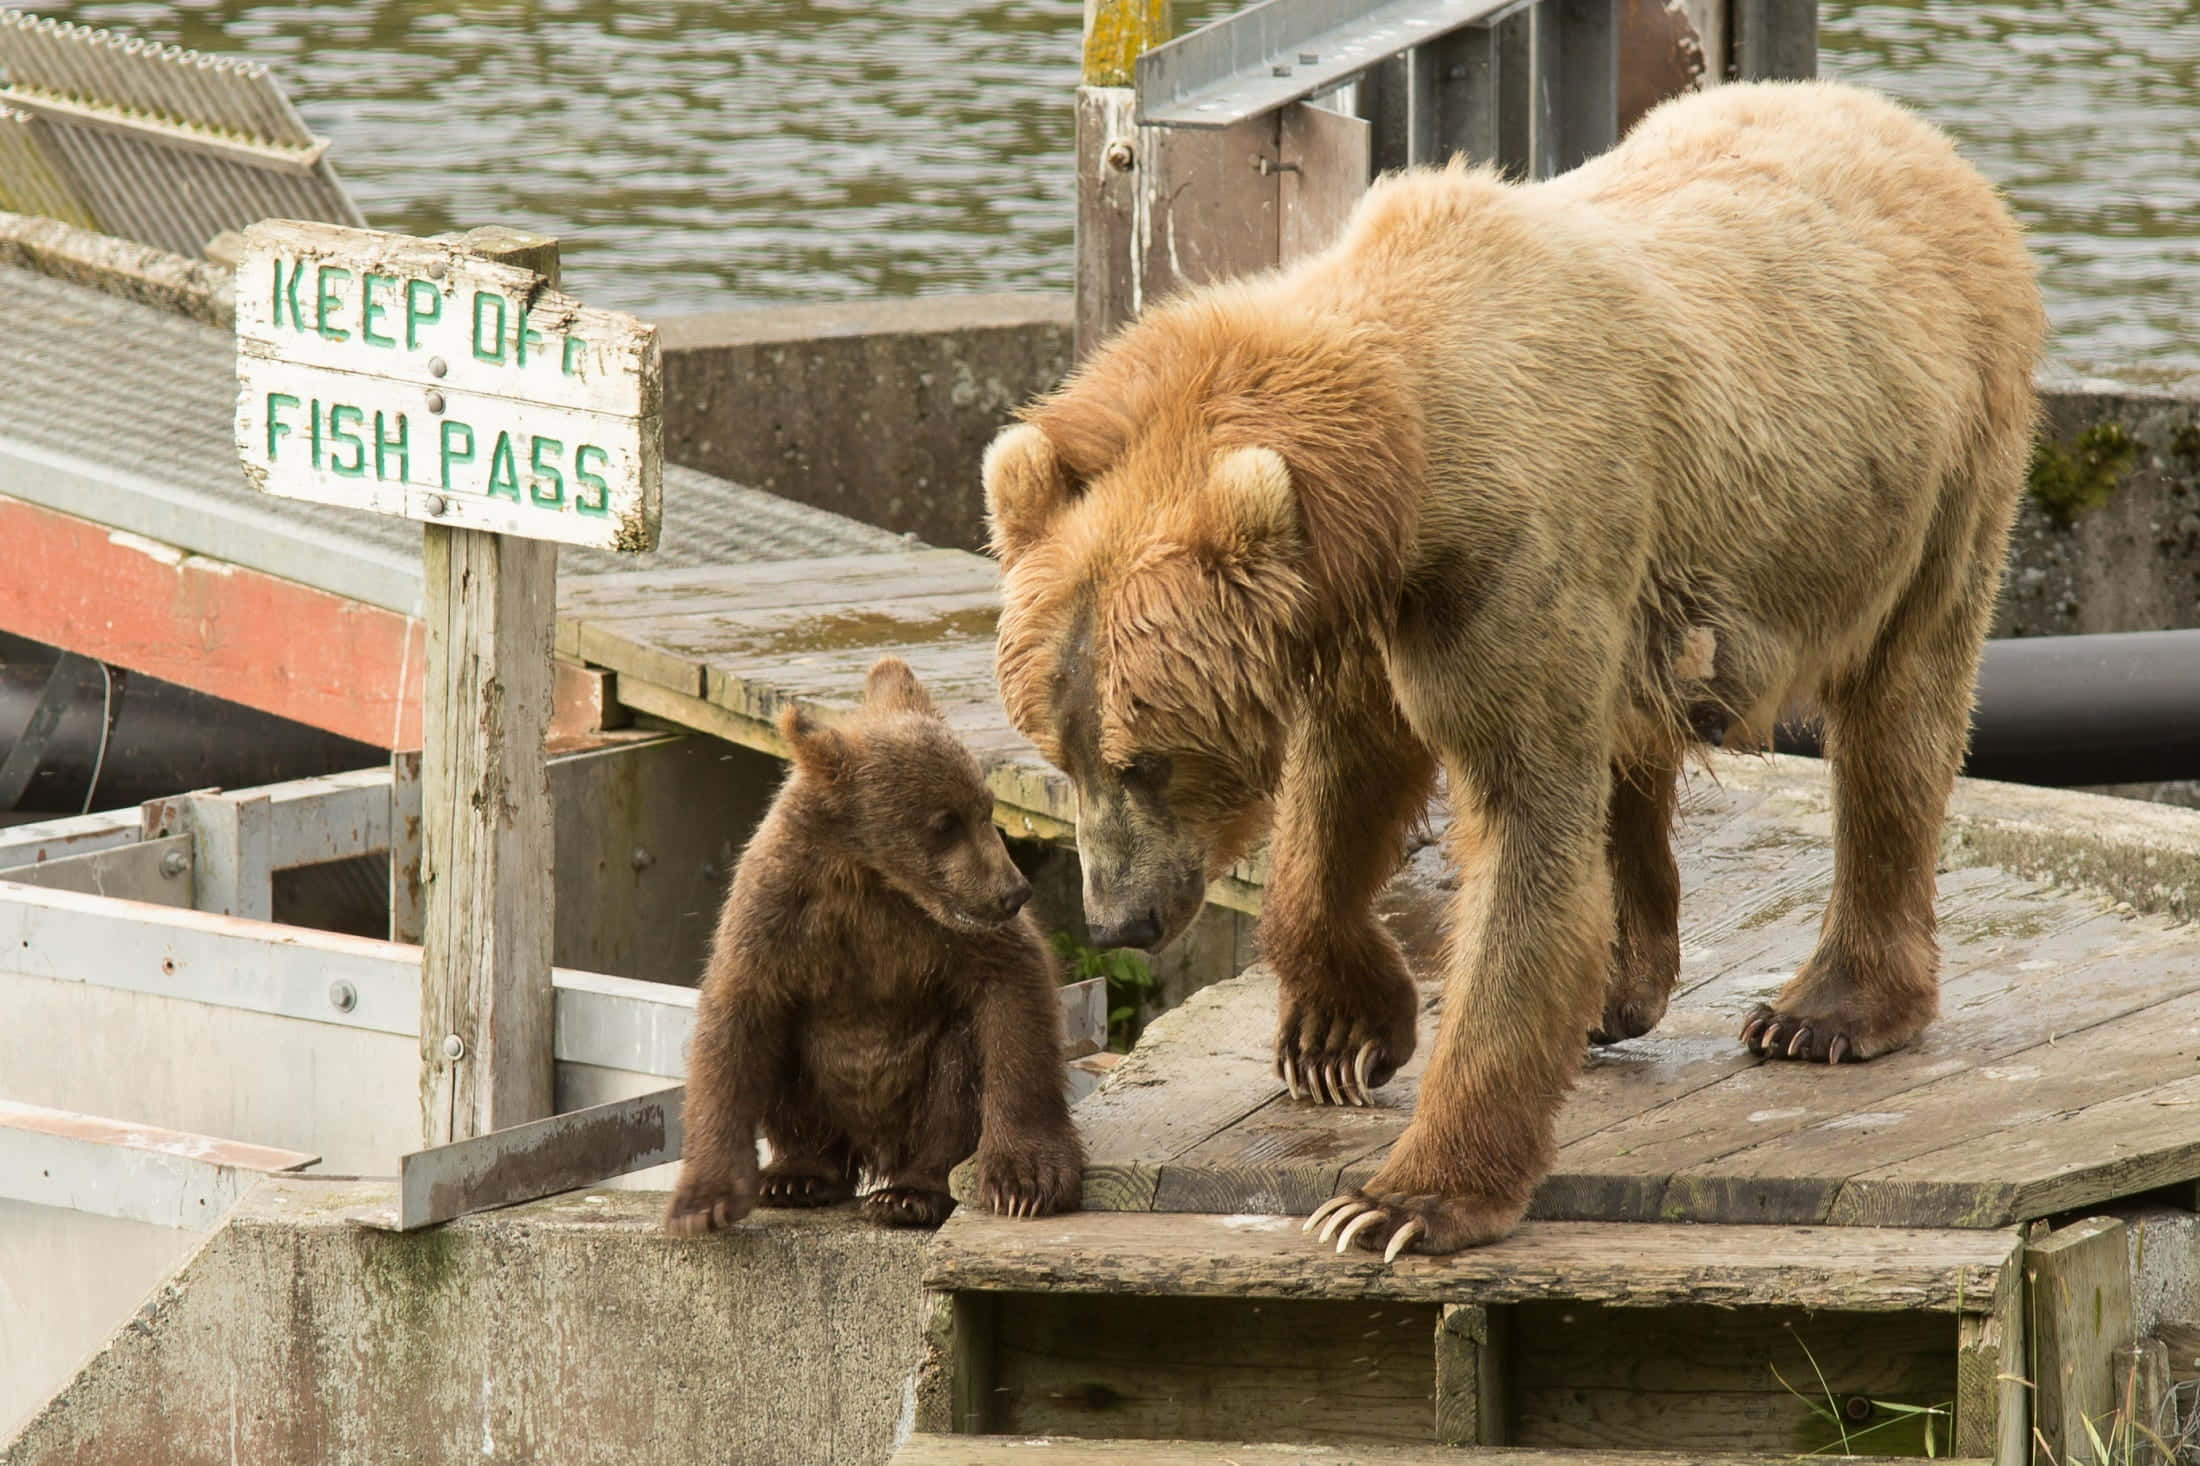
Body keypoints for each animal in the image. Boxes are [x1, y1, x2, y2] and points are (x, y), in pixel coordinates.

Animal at [664, 655, 1085, 1236]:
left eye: (985, 808)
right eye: (944, 822)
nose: (1012, 891)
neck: (868, 875)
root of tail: (876, 1147)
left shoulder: (943, 932)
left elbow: (1015, 1000)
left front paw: (1025, 1180)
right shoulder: (780, 916)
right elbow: (733, 1022)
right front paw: (700, 1203)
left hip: (920, 1083)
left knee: (955, 1072)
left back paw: (908, 1193)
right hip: (815, 1081)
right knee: (788, 1068)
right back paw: (797, 1175)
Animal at [981, 80, 2042, 1258]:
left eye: (1147, 757)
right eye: (1061, 749)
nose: (1116, 918)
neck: (1403, 476)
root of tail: (1915, 133)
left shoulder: (1512, 553)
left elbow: (1522, 831)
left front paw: (1395, 1202)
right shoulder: (1366, 617)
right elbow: (1342, 793)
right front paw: (1337, 1035)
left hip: (1935, 476)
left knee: (1898, 719)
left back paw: (1827, 1008)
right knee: (1637, 734)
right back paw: (1626, 975)